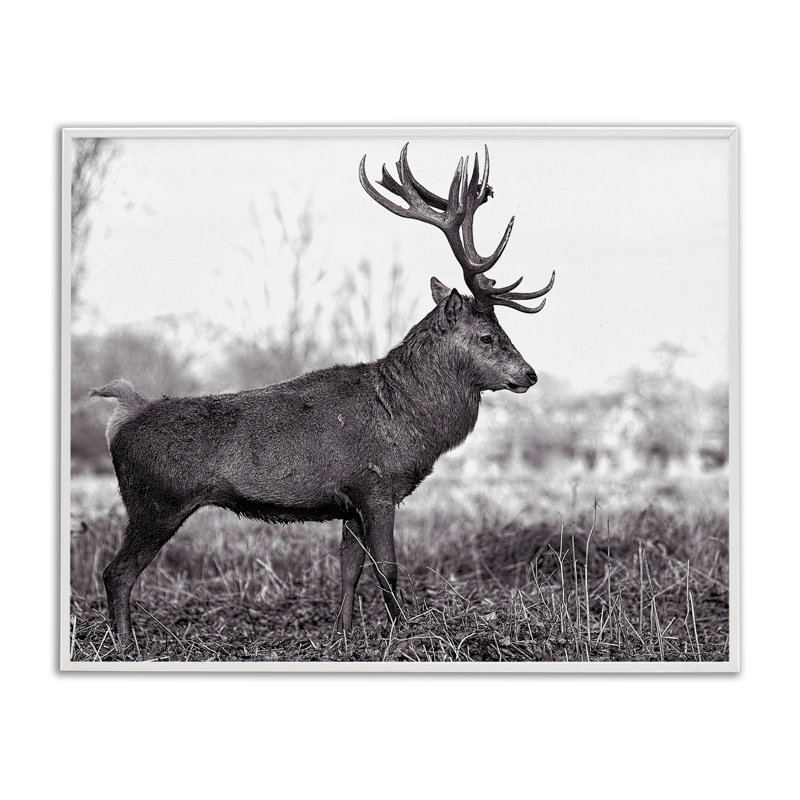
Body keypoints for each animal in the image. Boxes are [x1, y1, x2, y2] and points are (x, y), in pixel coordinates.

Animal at [89, 143, 555, 652]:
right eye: (488, 336)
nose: (529, 375)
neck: (408, 418)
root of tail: (122, 415)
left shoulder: (348, 502)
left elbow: (349, 569)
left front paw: (344, 636)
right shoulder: (376, 486)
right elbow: (387, 568)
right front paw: (404, 634)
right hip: (155, 502)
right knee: (116, 572)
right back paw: (125, 645)